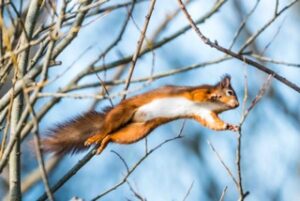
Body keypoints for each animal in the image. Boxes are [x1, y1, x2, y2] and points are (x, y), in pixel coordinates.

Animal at [42, 75, 239, 155]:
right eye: (229, 92)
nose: (237, 105)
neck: (213, 105)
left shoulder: (205, 113)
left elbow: (213, 123)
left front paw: (229, 126)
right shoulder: (196, 92)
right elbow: (198, 94)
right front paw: (213, 96)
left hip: (138, 130)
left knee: (114, 135)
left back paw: (105, 142)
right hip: (122, 112)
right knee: (106, 128)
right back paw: (97, 136)